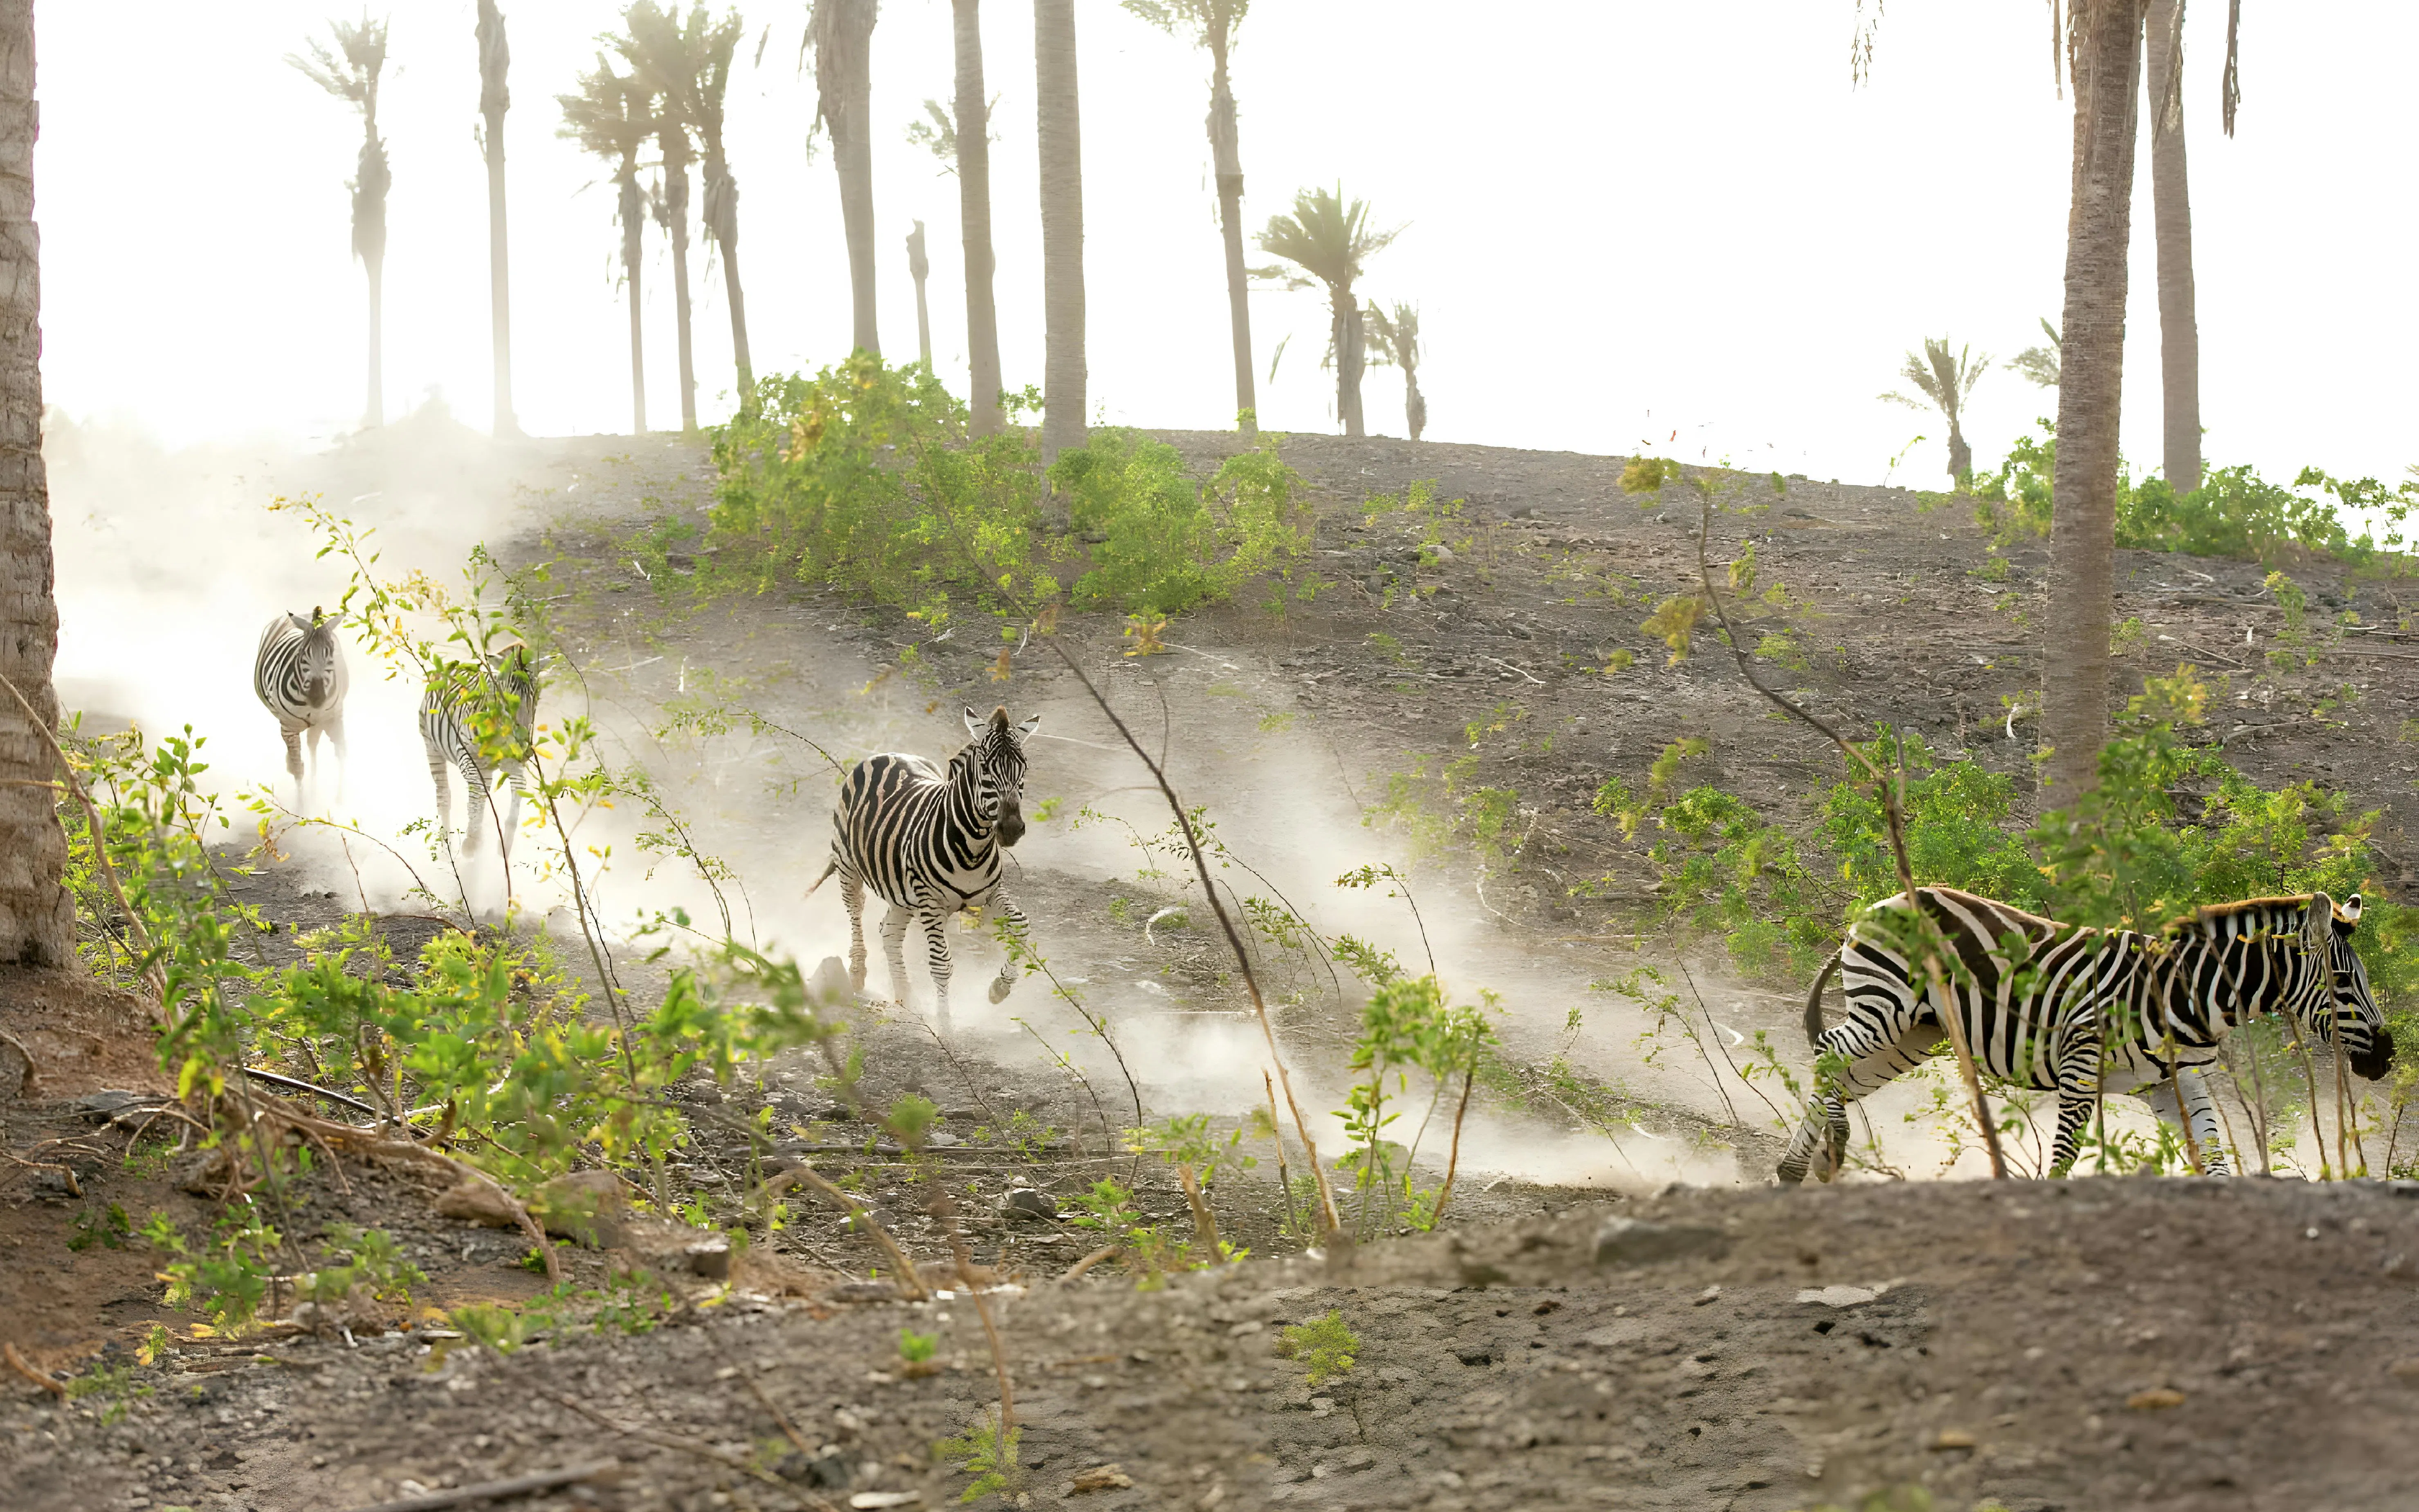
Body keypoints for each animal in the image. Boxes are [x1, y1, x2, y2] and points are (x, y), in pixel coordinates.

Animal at [253, 607, 349, 803]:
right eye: (303, 656)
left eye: (331, 654)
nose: (317, 698)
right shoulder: (288, 729)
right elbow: (298, 769)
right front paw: (301, 806)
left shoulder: (333, 717)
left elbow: (342, 753)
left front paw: (340, 801)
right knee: (305, 754)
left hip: (320, 723)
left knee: (313, 745)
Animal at [419, 641, 540, 861]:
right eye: (505, 698)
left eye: (535, 701)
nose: (526, 749)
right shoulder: (467, 754)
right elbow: (475, 796)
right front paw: (472, 843)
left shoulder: (511, 761)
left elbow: (518, 788)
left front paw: (505, 844)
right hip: (432, 746)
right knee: (444, 795)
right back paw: (447, 848)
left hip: (487, 767)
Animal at [805, 705, 1040, 1031]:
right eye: (984, 769)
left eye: (1023, 769)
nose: (1012, 829)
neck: (973, 847)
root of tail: (889, 754)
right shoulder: (931, 902)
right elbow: (941, 964)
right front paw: (944, 1026)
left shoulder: (990, 892)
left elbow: (1021, 925)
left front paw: (999, 989)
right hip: (847, 862)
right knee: (856, 908)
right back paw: (857, 972)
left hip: (902, 893)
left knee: (889, 932)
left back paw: (906, 996)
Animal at [1778, 886, 2392, 1184]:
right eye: (2342, 982)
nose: (2386, 1058)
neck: (2188, 993)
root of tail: (1877, 905)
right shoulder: (2080, 1061)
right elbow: (2065, 1152)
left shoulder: (2174, 1083)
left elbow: (2214, 1155)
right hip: (1887, 1006)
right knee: (1826, 1053)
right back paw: (1821, 1156)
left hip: (1914, 1033)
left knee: (1843, 1078)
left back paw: (1804, 1166)